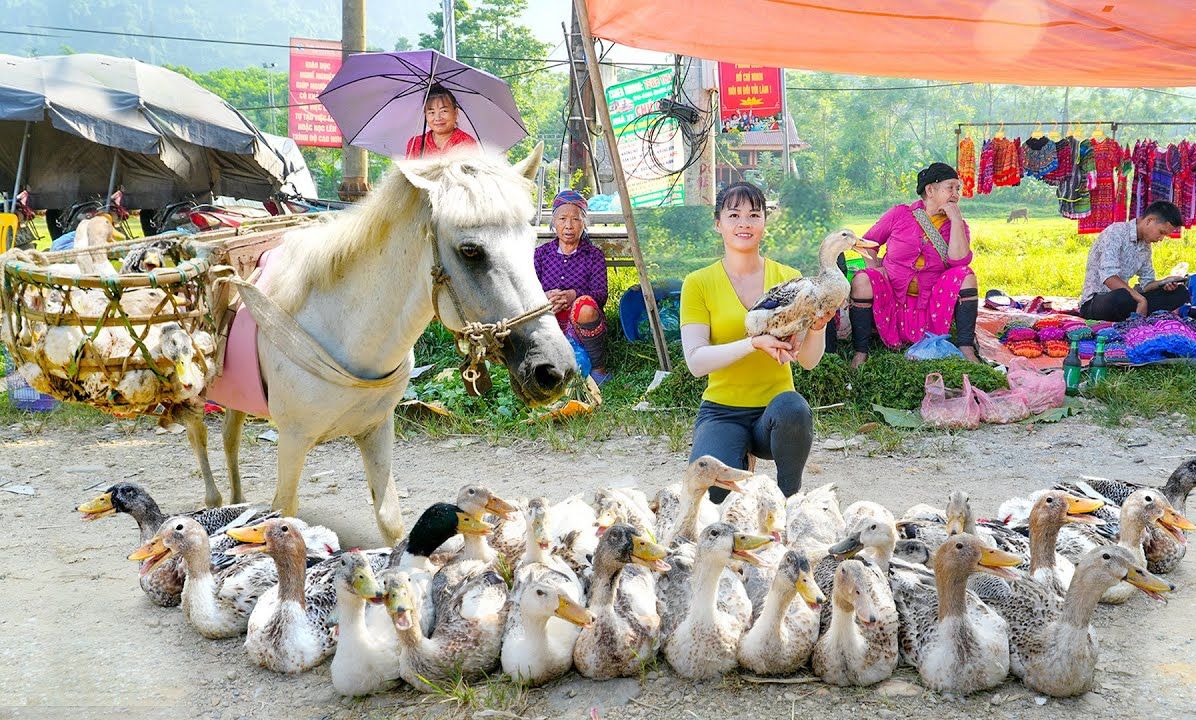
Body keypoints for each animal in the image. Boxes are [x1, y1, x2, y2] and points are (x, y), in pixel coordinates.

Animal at [179, 144, 576, 538]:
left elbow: (390, 520)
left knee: (229, 437)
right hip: (192, 395)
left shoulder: (377, 429)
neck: (343, 329)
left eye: (532, 241)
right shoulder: (292, 439)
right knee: (200, 439)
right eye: (471, 251)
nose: (554, 369)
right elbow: (285, 511)